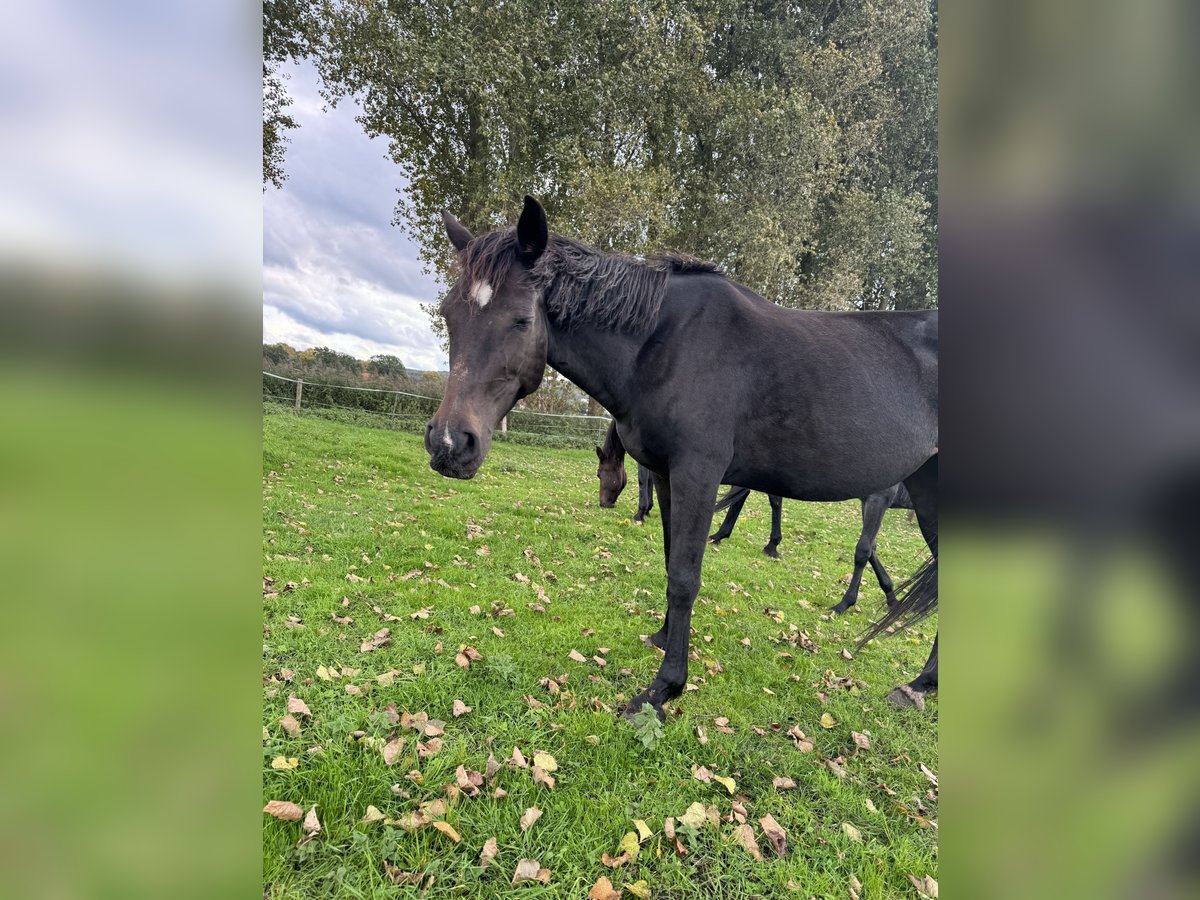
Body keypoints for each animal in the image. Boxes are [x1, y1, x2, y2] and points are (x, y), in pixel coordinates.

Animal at [422, 196, 936, 720]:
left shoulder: (698, 475)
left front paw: (663, 689)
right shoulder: (667, 475)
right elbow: (671, 557)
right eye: (449, 314)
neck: (664, 344)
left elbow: (685, 577)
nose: (449, 445)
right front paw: (663, 636)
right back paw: (919, 684)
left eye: (522, 320)